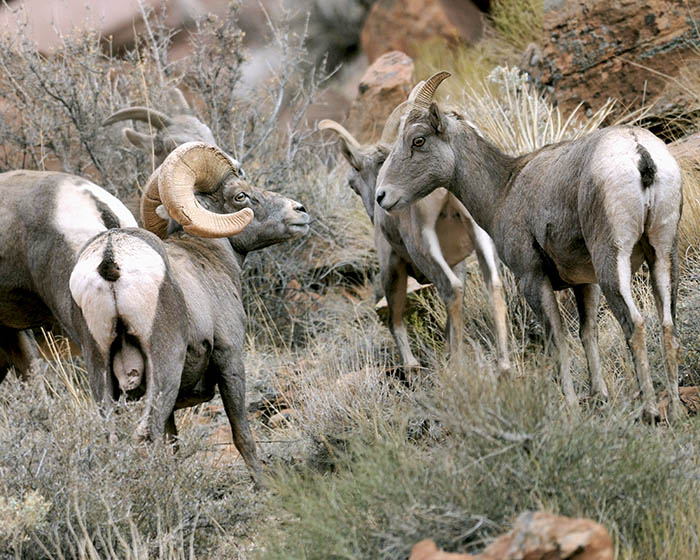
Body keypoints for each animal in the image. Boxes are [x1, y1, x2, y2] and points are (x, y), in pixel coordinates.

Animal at [70, 141, 310, 484]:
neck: (210, 259)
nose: (300, 211)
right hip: (164, 369)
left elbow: (173, 445)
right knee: (146, 435)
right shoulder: (230, 359)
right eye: (240, 196)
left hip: (100, 371)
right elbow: (242, 435)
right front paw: (264, 485)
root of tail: (110, 260)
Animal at [318, 107, 511, 374]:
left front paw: (412, 366)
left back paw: (455, 368)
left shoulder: (391, 266)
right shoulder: (457, 263)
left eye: (352, 184)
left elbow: (396, 321)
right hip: (478, 234)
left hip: (422, 245)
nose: (378, 200)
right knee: (492, 283)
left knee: (450, 290)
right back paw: (504, 366)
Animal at [375, 72, 684, 421]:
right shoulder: (584, 283)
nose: (382, 196)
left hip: (611, 261)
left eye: (418, 140)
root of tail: (639, 152)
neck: (503, 190)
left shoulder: (532, 279)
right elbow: (586, 333)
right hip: (663, 253)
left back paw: (650, 412)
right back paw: (675, 410)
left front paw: (571, 405)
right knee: (668, 325)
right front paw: (599, 397)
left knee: (635, 324)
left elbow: (557, 339)